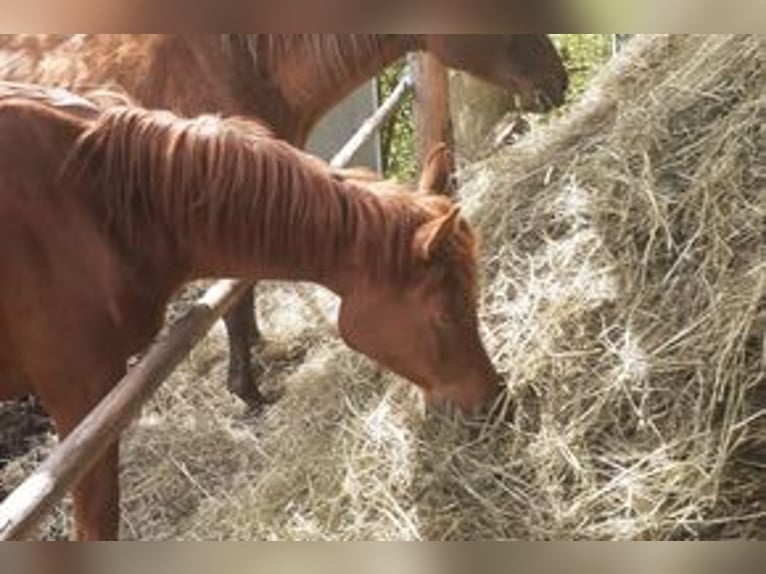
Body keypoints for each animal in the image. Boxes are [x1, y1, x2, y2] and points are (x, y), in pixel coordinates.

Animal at [0, 33, 564, 408]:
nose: (557, 82)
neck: (241, 62)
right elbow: (233, 297)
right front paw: (247, 389)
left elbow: (244, 289)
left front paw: (253, 343)